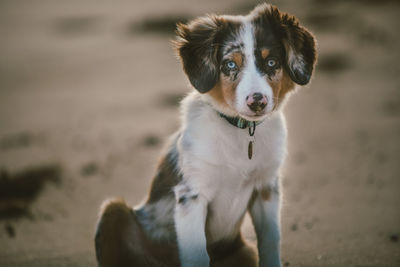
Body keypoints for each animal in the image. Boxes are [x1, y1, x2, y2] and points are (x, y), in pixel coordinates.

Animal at [94, 2, 316, 267]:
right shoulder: (192, 196)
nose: (257, 102)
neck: (242, 132)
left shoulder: (266, 189)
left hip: (244, 251)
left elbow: (271, 242)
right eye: (230, 64)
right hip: (112, 210)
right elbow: (198, 255)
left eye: (271, 62)